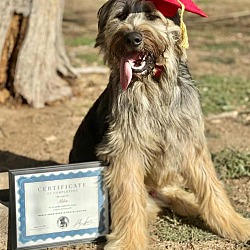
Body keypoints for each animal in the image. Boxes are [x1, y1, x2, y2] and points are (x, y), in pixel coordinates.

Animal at [69, 0, 250, 249]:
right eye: (121, 16)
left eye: (151, 15)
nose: (132, 38)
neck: (153, 85)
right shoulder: (126, 149)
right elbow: (129, 199)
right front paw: (130, 242)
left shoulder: (191, 141)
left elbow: (212, 187)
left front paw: (236, 224)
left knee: (171, 191)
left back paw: (190, 203)